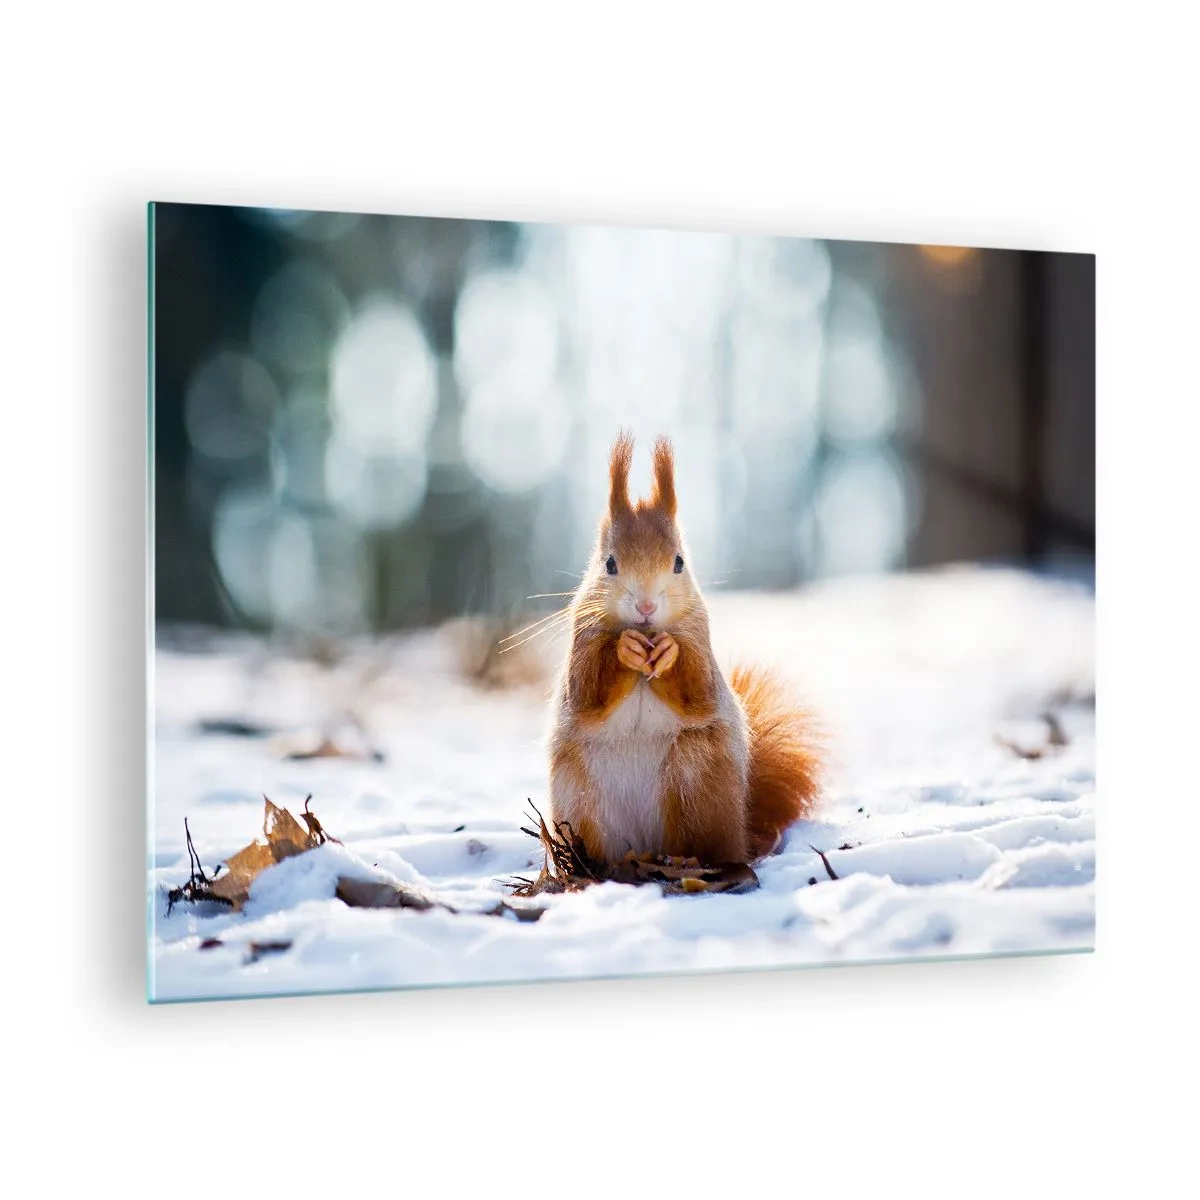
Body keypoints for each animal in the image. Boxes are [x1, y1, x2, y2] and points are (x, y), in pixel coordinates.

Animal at [547, 431, 822, 867]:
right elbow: (587, 692)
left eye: (679, 562)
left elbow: (699, 691)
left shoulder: (699, 637)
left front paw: (669, 652)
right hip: (578, 796)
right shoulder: (582, 639)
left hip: (696, 778)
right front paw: (624, 648)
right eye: (609, 564)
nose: (645, 607)